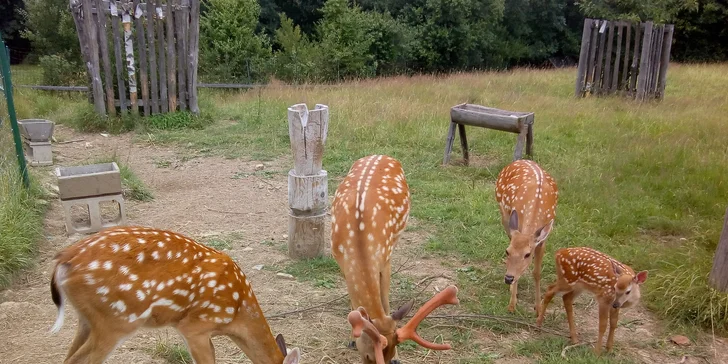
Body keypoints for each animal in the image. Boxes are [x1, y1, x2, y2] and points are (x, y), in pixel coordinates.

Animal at [332, 154, 458, 364]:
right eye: (368, 355)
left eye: (391, 355)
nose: (394, 357)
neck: (358, 244)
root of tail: (380, 155)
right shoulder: (340, 262)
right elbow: (354, 304)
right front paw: (350, 338)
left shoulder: (385, 259)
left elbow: (385, 302)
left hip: (396, 237)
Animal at [494, 159, 556, 312]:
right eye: (507, 251)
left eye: (528, 254)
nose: (508, 278)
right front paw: (512, 304)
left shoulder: (542, 241)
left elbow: (537, 273)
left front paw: (538, 307)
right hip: (504, 214)